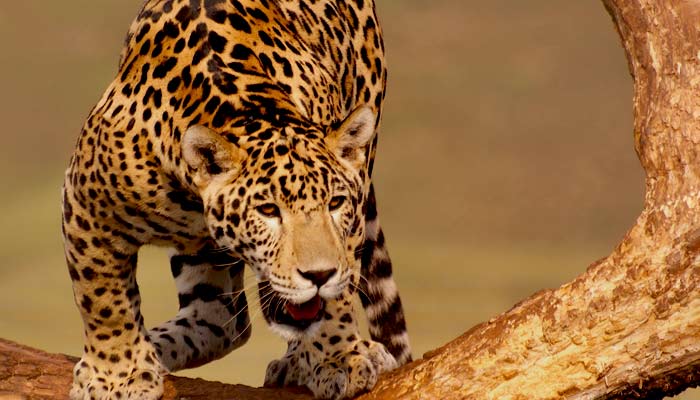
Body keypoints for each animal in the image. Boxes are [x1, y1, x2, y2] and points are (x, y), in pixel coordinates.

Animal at [62, 0, 411, 399]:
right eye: (269, 210)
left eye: (335, 205)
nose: (318, 275)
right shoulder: (87, 203)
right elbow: (103, 299)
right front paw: (117, 376)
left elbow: (337, 296)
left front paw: (338, 358)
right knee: (219, 318)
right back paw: (154, 347)